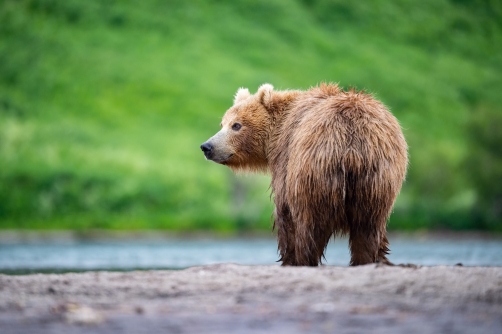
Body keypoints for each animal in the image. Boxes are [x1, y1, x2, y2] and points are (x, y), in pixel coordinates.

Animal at [200, 83, 408, 266]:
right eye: (222, 123)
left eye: (236, 125)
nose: (207, 146)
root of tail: (351, 140)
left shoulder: (285, 160)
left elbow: (284, 213)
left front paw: (288, 258)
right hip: (378, 179)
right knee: (369, 227)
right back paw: (368, 259)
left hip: (313, 172)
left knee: (309, 226)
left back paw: (304, 259)